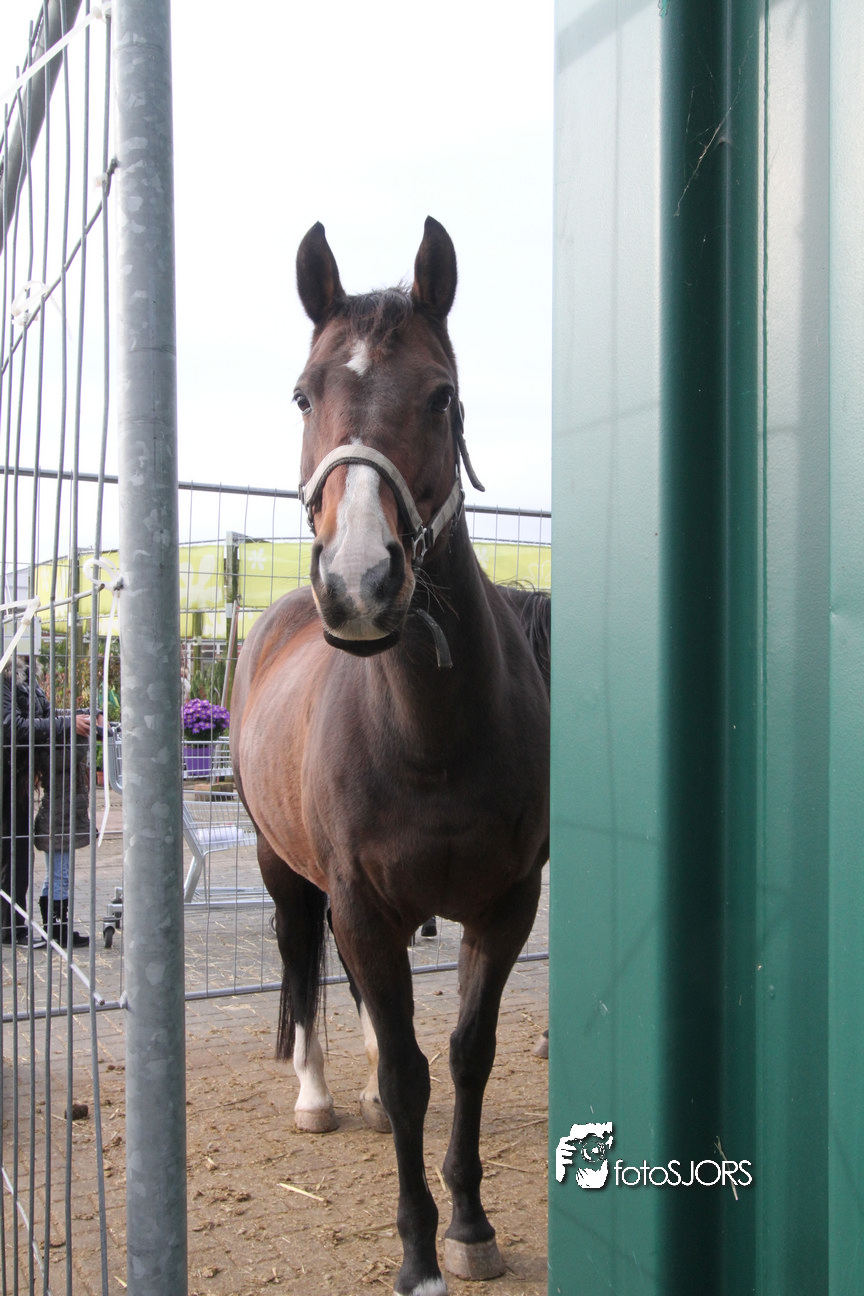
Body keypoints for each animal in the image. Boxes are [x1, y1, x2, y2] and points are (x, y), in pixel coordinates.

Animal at [231, 217, 550, 1296]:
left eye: (441, 395)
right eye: (303, 393)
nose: (362, 583)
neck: (427, 733)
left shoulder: (502, 906)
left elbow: (462, 1054)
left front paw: (472, 1224)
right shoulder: (365, 904)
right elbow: (413, 1073)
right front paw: (417, 1252)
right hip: (284, 870)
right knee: (300, 958)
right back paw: (320, 1096)